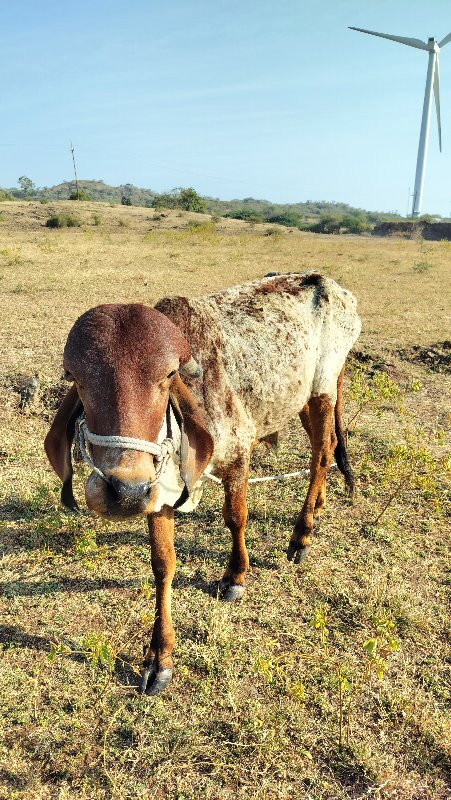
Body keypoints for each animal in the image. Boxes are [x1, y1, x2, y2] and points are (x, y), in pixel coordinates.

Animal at [45, 270, 360, 692]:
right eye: (76, 378)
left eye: (168, 376)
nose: (123, 490)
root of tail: (329, 283)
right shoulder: (157, 493)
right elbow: (162, 563)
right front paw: (159, 658)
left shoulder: (239, 454)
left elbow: (236, 518)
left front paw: (235, 576)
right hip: (304, 398)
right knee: (323, 450)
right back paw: (319, 508)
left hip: (322, 391)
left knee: (322, 455)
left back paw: (302, 534)